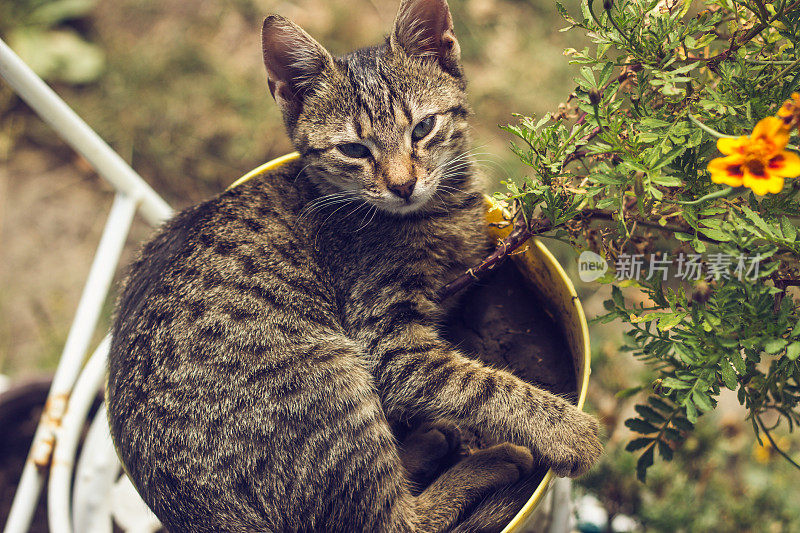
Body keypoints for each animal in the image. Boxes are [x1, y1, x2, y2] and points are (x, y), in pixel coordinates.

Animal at [106, 0, 600, 528]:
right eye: (354, 150)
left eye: (422, 128)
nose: (403, 184)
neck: (437, 212)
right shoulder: (392, 347)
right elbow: (478, 383)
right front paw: (567, 432)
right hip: (331, 375)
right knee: (395, 520)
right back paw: (491, 459)